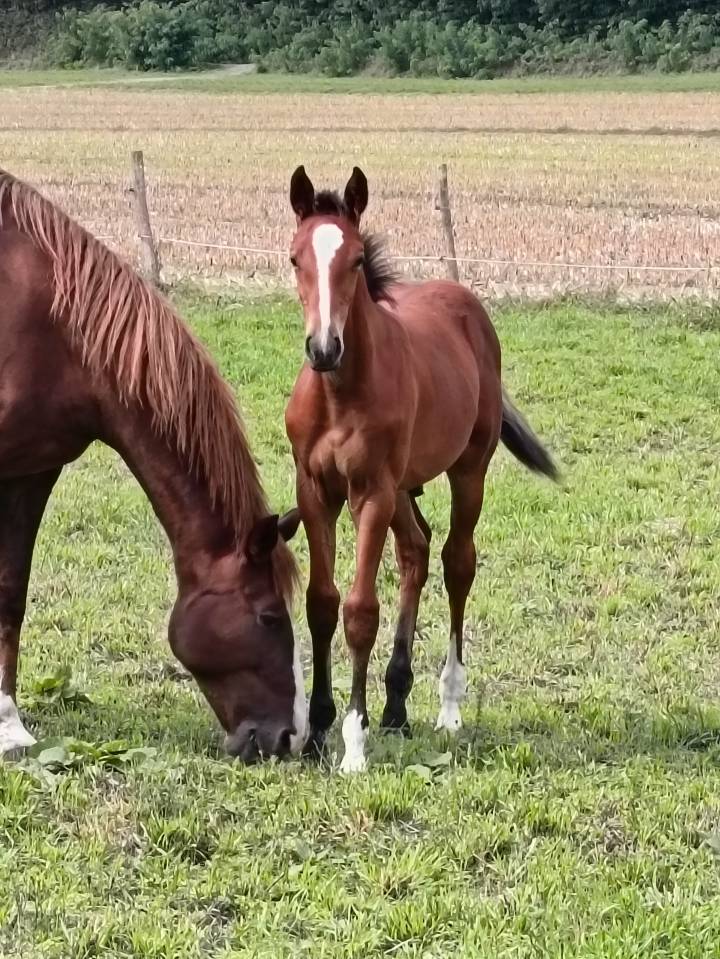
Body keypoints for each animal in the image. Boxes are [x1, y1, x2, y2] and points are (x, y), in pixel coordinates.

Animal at [0, 169, 306, 763]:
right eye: (269, 616)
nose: (287, 738)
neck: (52, 324)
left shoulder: (31, 469)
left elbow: (10, 589)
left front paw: (8, 725)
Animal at [285, 165, 558, 772]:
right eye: (294, 258)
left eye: (356, 259)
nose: (323, 348)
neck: (339, 393)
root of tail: (465, 302)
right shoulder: (316, 492)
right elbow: (321, 603)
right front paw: (316, 731)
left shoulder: (370, 494)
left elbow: (360, 611)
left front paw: (353, 742)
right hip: (406, 486)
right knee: (416, 549)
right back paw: (396, 704)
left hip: (465, 471)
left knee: (457, 561)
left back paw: (447, 707)